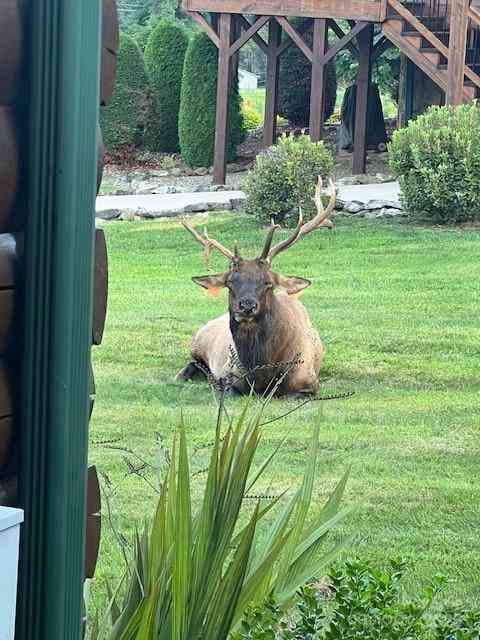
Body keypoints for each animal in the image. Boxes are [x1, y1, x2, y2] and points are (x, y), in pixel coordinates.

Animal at [176, 176, 338, 396]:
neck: (263, 372)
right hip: (197, 342)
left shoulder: (308, 382)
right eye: (230, 282)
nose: (247, 306)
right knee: (192, 363)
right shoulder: (229, 376)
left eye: (268, 282)